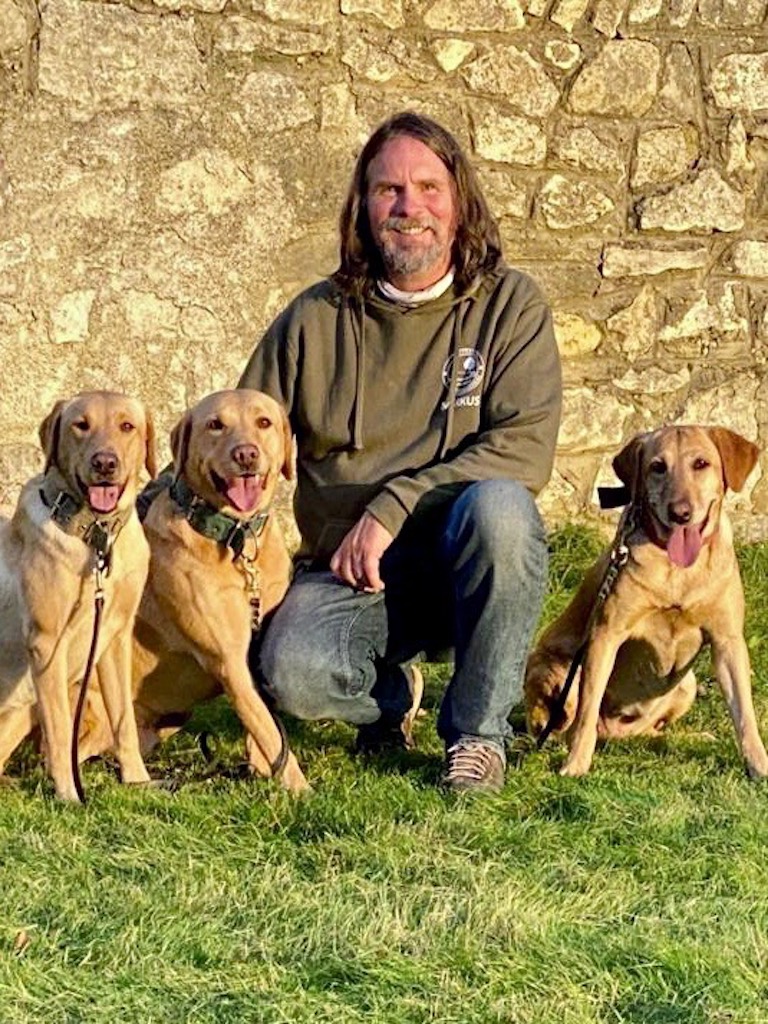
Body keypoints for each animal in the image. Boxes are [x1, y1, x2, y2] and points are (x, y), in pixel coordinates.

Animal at [0, 391, 156, 800]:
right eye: (80, 425)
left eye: (126, 426)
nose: (105, 463)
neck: (96, 537)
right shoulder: (47, 646)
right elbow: (58, 732)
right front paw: (69, 795)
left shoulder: (115, 638)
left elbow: (124, 722)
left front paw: (138, 780)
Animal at [79, 389, 309, 793]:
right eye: (215, 425)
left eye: (264, 422)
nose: (246, 454)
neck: (237, 540)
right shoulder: (229, 661)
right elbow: (269, 730)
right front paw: (300, 789)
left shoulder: (255, 654)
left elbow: (263, 728)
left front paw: (261, 770)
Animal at [525, 425, 768, 779]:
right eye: (657, 467)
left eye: (701, 463)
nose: (680, 513)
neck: (678, 569)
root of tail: (612, 733)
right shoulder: (606, 635)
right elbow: (587, 711)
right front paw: (576, 764)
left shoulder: (728, 641)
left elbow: (745, 714)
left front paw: (759, 765)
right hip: (560, 672)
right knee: (564, 722)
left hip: (688, 684)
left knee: (647, 730)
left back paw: (688, 736)